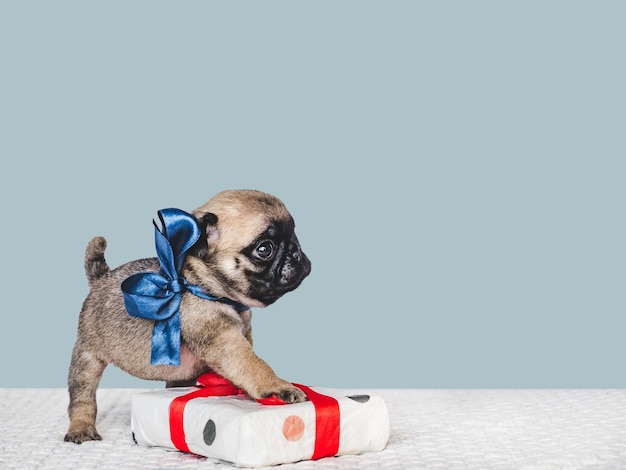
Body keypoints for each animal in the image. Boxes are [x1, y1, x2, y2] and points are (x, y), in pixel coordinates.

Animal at [64, 189, 310, 442]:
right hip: (88, 357)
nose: (296, 253)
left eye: (294, 236)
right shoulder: (225, 341)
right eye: (264, 249)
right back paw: (81, 427)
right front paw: (277, 386)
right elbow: (253, 364)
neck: (202, 285)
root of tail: (101, 278)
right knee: (82, 396)